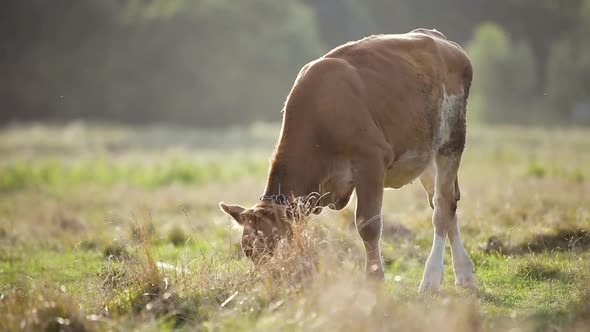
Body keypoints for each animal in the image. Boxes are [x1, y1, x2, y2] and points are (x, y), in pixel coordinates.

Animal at [221, 29, 476, 294]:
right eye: (249, 252)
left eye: (276, 243)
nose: (272, 282)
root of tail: (436, 37)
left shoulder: (371, 160)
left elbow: (368, 225)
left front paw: (374, 279)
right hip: (425, 152)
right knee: (444, 203)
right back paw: (464, 275)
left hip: (453, 139)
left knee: (443, 205)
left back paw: (432, 279)